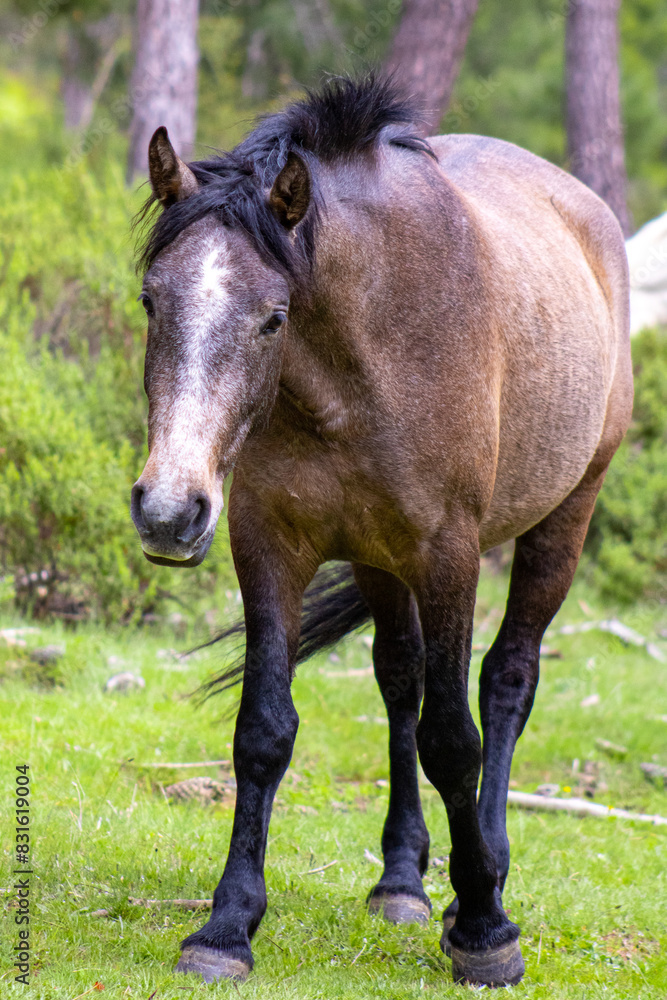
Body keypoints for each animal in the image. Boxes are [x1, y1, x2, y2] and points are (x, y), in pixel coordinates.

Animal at [130, 76, 632, 987]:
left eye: (273, 316)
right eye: (153, 299)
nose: (168, 510)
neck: (366, 357)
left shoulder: (448, 556)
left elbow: (453, 739)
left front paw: (484, 931)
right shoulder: (269, 545)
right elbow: (264, 731)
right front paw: (225, 926)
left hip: (562, 520)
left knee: (506, 683)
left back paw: (488, 870)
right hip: (377, 560)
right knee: (398, 682)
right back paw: (402, 879)